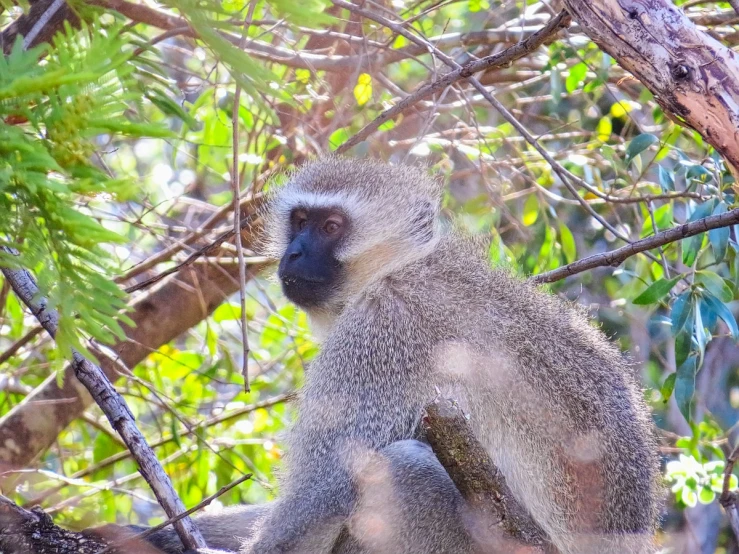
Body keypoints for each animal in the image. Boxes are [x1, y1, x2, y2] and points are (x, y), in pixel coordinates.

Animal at [136, 156, 660, 552]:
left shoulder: (379, 337)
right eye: (300, 222)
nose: (294, 254)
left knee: (403, 469)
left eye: (332, 227)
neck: (398, 267)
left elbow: (312, 506)